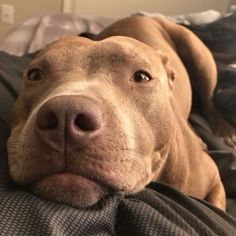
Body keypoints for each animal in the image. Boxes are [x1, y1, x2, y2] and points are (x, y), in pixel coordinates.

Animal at [6, 15, 228, 209]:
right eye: (35, 75)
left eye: (142, 77)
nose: (65, 115)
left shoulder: (215, 179)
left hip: (200, 57)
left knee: (209, 99)